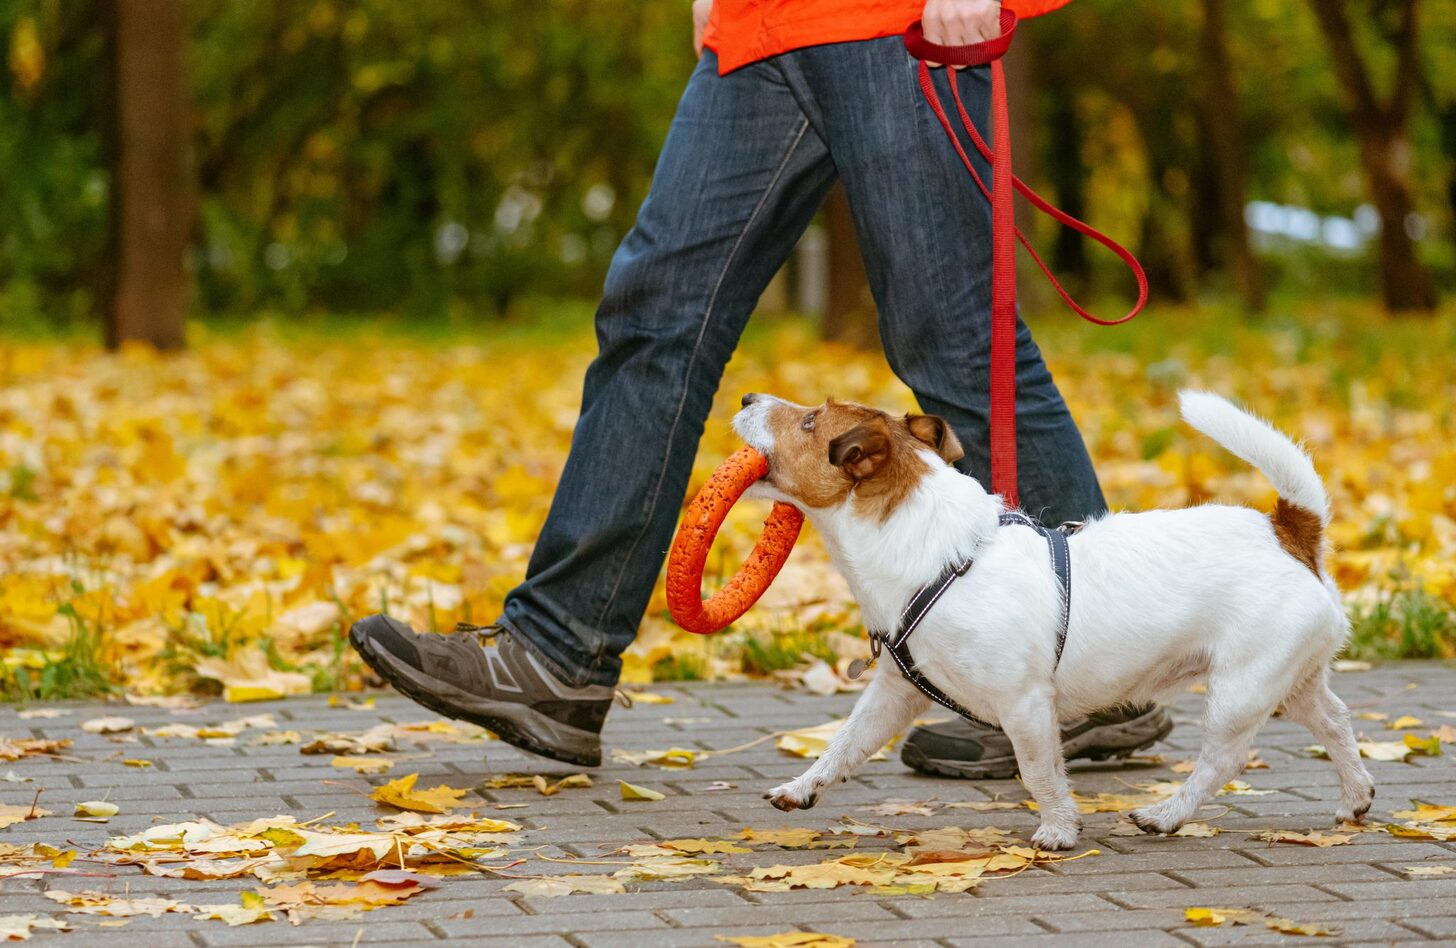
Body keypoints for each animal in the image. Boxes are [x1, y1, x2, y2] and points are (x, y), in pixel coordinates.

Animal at [733, 390, 1368, 850]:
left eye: (809, 420)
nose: (744, 396)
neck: (937, 552)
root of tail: (1290, 531)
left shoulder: (1025, 705)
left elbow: (1039, 771)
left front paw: (1059, 830)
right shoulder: (895, 692)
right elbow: (844, 744)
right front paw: (801, 788)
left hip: (1241, 689)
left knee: (1222, 760)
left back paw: (1166, 814)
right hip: (1293, 681)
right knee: (1336, 723)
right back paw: (1355, 797)